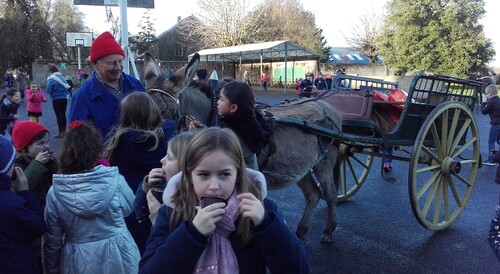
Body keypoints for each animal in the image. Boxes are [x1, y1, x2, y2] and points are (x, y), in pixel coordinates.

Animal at [143, 53, 342, 242]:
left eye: (168, 112)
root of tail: (326, 106)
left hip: (324, 163)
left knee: (330, 194)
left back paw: (328, 231)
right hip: (301, 169)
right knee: (313, 195)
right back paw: (301, 232)